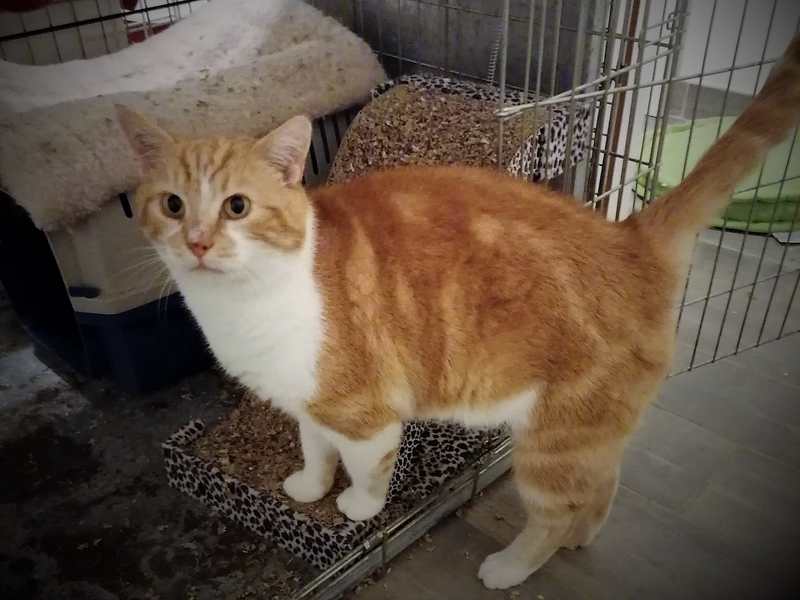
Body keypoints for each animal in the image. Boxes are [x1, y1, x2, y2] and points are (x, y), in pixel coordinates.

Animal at [117, 34, 800, 590]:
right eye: (173, 205)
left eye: (237, 206)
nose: (197, 243)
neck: (250, 301)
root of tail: (629, 235)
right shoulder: (310, 400)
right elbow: (314, 448)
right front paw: (309, 486)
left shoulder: (368, 416)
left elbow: (365, 469)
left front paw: (357, 508)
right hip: (589, 438)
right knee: (603, 484)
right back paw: (585, 537)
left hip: (552, 444)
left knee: (556, 513)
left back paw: (511, 566)